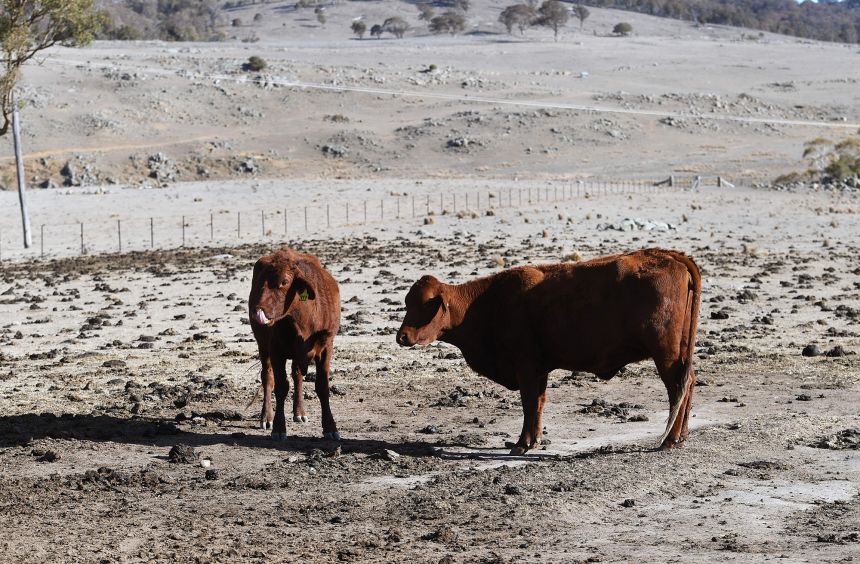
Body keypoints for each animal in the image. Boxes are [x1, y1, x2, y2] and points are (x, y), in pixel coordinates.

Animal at [248, 246, 341, 440]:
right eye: (259, 281)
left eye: (284, 281)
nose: (257, 310)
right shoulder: (276, 351)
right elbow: (281, 387)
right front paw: (278, 427)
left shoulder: (326, 347)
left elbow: (322, 386)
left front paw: (330, 427)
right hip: (263, 346)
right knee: (267, 377)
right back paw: (266, 417)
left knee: (297, 374)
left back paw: (299, 412)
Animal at [396, 248, 701, 454]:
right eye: (407, 302)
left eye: (425, 304)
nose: (402, 336)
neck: (486, 303)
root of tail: (670, 256)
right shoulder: (539, 369)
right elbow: (539, 404)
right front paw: (534, 440)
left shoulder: (526, 367)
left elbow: (529, 404)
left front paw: (522, 444)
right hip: (680, 353)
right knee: (689, 384)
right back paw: (682, 436)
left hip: (666, 355)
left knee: (677, 387)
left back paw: (670, 440)